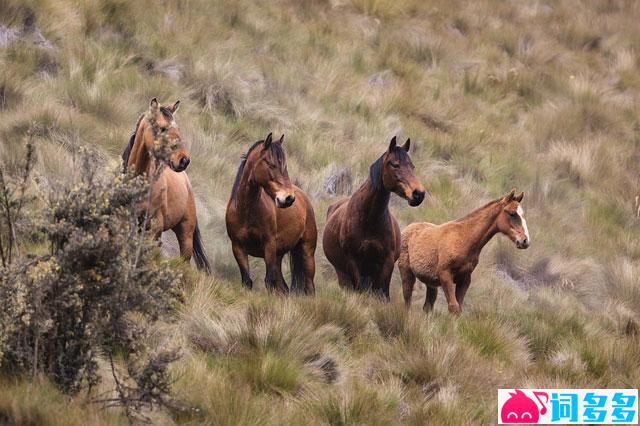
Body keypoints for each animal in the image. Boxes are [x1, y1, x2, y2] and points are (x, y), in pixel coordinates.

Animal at [225, 132, 318, 292]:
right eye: (271, 164)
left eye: (284, 166)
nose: (288, 198)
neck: (246, 212)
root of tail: (304, 198)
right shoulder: (238, 247)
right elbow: (247, 281)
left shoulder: (269, 246)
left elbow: (269, 281)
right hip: (278, 257)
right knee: (284, 288)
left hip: (307, 253)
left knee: (309, 287)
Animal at [322, 138, 428, 298]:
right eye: (395, 164)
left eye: (412, 166)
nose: (418, 194)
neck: (369, 220)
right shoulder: (353, 261)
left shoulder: (386, 262)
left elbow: (382, 293)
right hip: (343, 274)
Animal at [400, 188, 528, 314]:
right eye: (512, 213)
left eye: (522, 214)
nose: (525, 241)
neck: (464, 238)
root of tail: (407, 229)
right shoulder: (445, 275)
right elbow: (454, 307)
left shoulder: (465, 279)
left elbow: (459, 308)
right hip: (407, 273)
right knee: (407, 301)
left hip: (431, 283)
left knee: (427, 306)